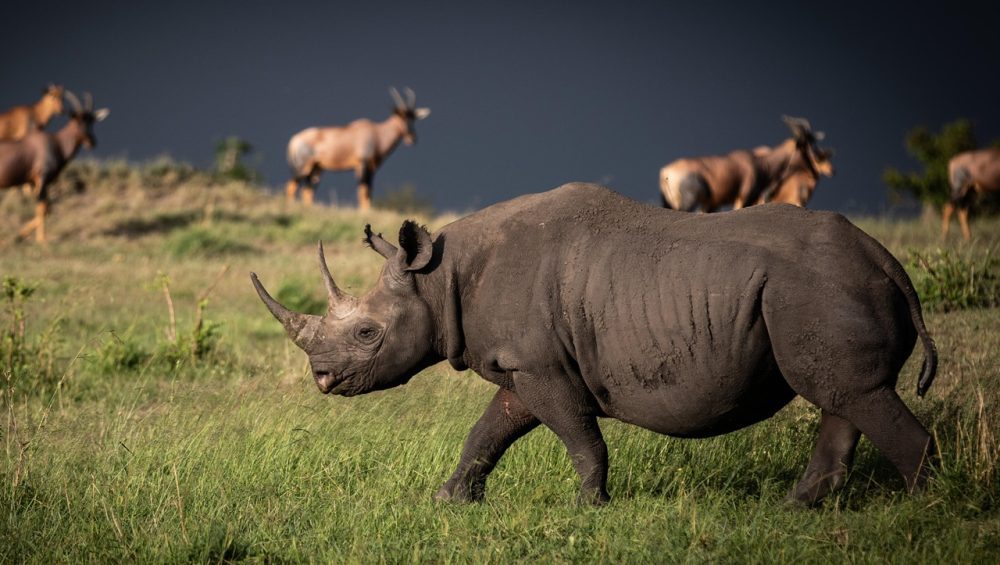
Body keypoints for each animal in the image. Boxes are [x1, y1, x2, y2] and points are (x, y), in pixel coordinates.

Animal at [251, 183, 937, 506]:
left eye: (367, 334)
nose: (321, 378)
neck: (440, 277)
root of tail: (887, 260)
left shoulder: (543, 367)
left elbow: (580, 438)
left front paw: (589, 506)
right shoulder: (523, 365)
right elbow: (488, 432)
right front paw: (449, 500)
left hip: (816, 288)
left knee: (852, 393)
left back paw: (921, 513)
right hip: (821, 290)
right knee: (845, 394)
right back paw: (796, 509)